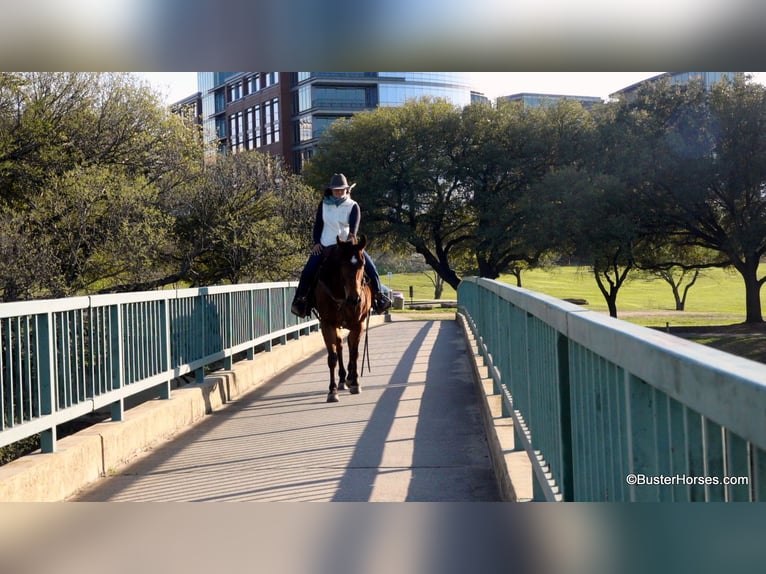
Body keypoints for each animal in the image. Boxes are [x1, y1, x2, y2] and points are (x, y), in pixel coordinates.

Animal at [316, 236, 376, 402]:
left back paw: (349, 378)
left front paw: (355, 382)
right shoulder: (327, 324)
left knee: (348, 345)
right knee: (340, 346)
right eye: (342, 264)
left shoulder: (358, 324)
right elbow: (332, 357)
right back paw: (343, 379)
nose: (355, 299)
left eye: (363, 264)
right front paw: (332, 390)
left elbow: (354, 353)